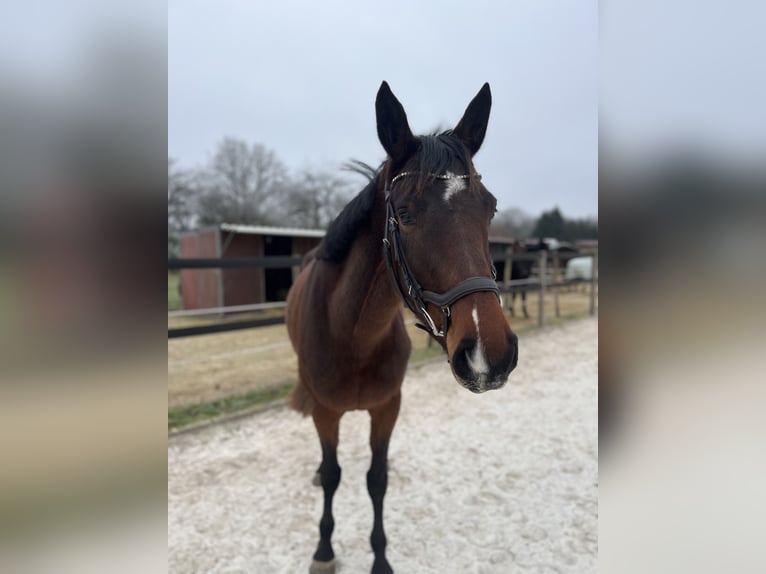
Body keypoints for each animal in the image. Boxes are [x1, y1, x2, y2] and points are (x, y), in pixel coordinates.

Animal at [288, 81, 520, 574]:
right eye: (407, 214)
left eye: (490, 209)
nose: (488, 355)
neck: (353, 335)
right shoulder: (326, 412)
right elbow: (334, 474)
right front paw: (324, 550)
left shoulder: (387, 408)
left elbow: (376, 479)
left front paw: (380, 557)